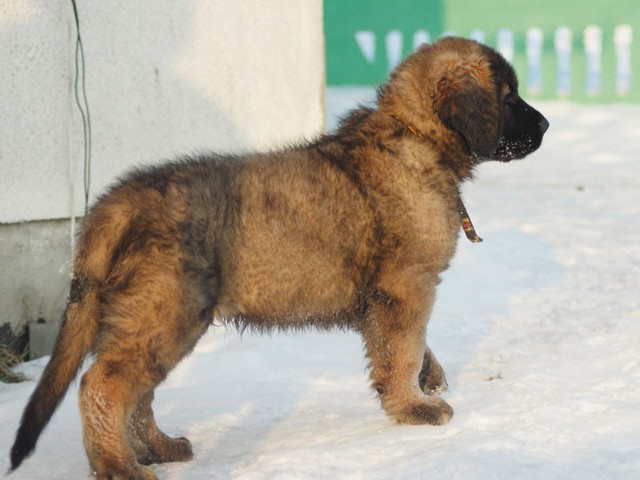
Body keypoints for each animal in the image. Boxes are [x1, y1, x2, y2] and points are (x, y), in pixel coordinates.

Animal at [11, 38, 544, 480]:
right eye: (508, 98)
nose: (546, 124)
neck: (414, 134)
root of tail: (117, 203)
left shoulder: (390, 296)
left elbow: (405, 347)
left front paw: (426, 382)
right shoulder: (407, 285)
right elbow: (405, 348)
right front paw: (414, 408)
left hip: (155, 318)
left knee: (136, 393)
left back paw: (158, 448)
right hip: (166, 312)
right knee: (102, 386)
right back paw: (119, 467)